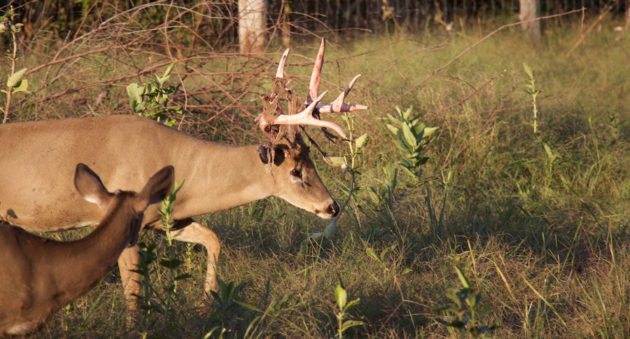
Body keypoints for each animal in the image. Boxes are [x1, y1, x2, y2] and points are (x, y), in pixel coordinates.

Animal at [0, 38, 368, 318]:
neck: (180, 168)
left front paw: (208, 301)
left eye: (312, 162)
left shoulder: (167, 220)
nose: (332, 207)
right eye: (295, 170)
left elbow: (212, 238)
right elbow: (133, 293)